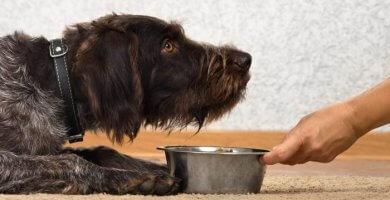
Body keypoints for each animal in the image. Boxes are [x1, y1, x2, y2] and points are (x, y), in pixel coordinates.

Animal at [0, 14, 253, 195]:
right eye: (168, 46)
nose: (245, 60)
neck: (55, 82)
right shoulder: (9, 161)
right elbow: (71, 161)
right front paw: (137, 178)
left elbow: (102, 151)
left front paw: (157, 167)